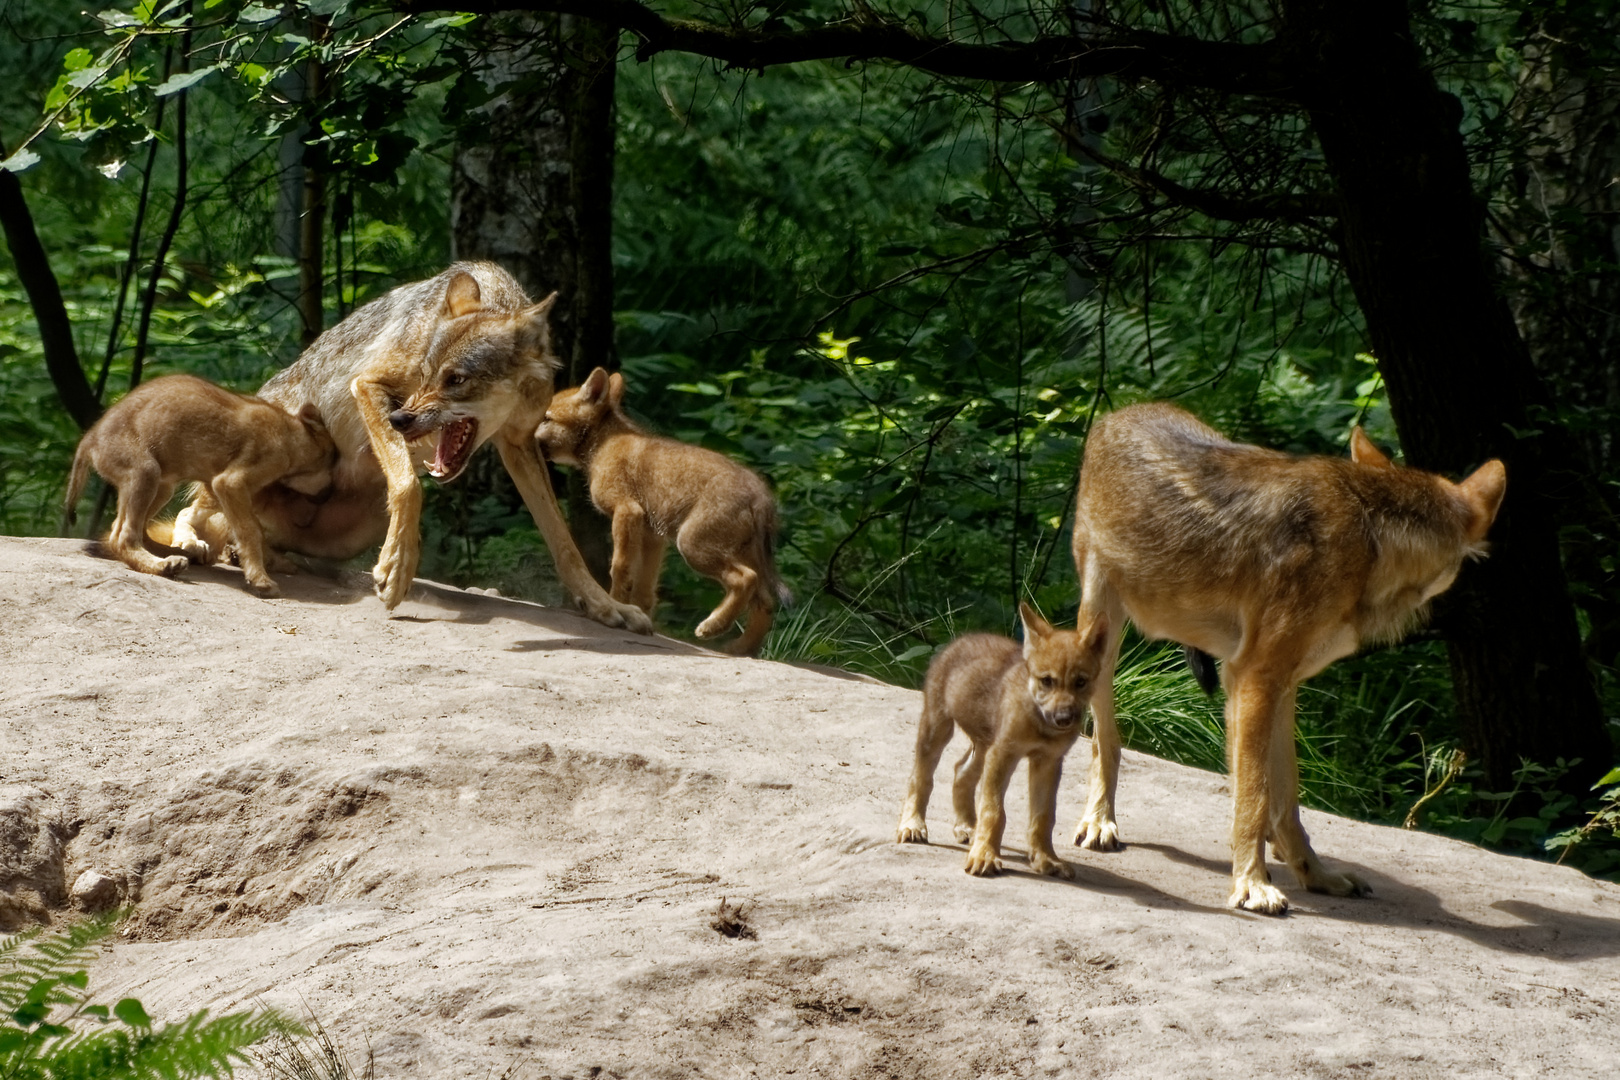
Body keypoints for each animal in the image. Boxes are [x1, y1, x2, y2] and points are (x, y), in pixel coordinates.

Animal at [174, 262, 654, 634]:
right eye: (424, 374)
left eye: (456, 379)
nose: (400, 420)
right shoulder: (368, 385)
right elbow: (409, 487)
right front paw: (398, 568)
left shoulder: (519, 443)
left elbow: (564, 542)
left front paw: (605, 605)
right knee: (195, 509)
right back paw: (194, 547)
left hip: (350, 533)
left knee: (235, 527)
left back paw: (254, 554)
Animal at [1075, 403, 1503, 913]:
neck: (1370, 540)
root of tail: (1118, 414)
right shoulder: (1254, 677)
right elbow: (1255, 796)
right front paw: (1252, 885)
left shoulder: (1280, 684)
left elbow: (1286, 797)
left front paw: (1314, 874)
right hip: (1100, 637)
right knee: (1106, 738)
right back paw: (1100, 821)